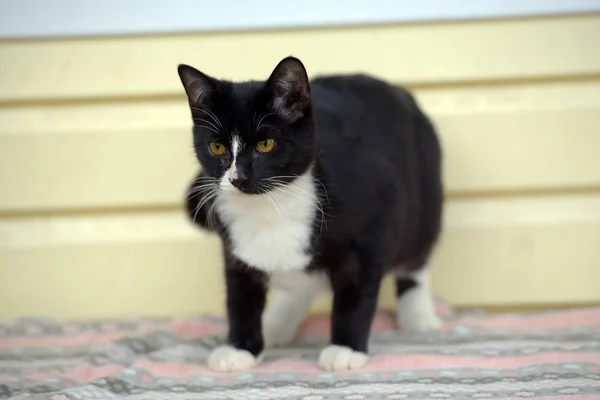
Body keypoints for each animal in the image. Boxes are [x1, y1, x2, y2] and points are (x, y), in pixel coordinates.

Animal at [176, 55, 442, 372]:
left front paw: (345, 348)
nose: (237, 178)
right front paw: (240, 348)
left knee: (416, 259)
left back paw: (419, 315)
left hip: (423, 203)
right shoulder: (235, 252)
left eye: (265, 144)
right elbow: (240, 299)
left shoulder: (371, 233)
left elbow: (356, 296)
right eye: (217, 147)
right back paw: (278, 322)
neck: (271, 207)